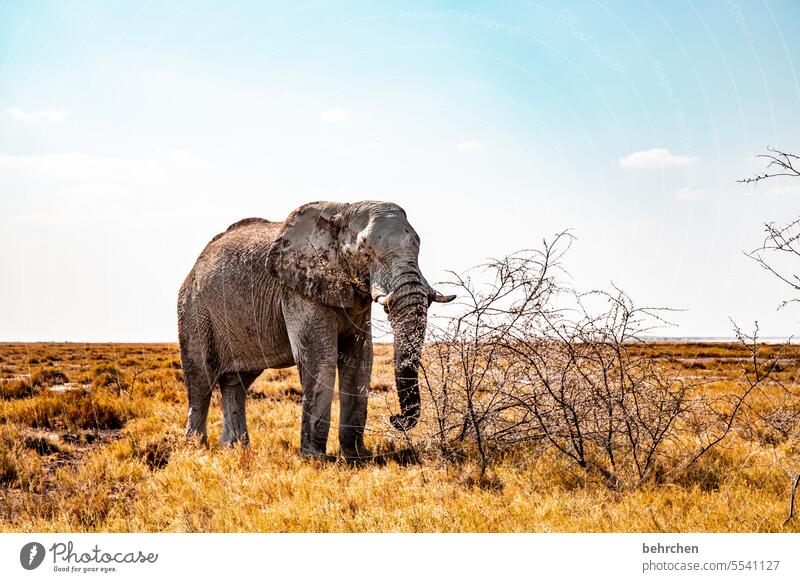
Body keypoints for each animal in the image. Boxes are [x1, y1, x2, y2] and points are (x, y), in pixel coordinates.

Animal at [177, 201, 454, 460]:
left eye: (418, 246)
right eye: (364, 253)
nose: (395, 418)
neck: (343, 211)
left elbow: (360, 359)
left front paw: (356, 455)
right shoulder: (298, 288)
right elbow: (320, 357)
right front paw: (315, 459)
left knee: (237, 383)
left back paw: (234, 450)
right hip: (194, 309)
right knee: (200, 381)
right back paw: (196, 450)